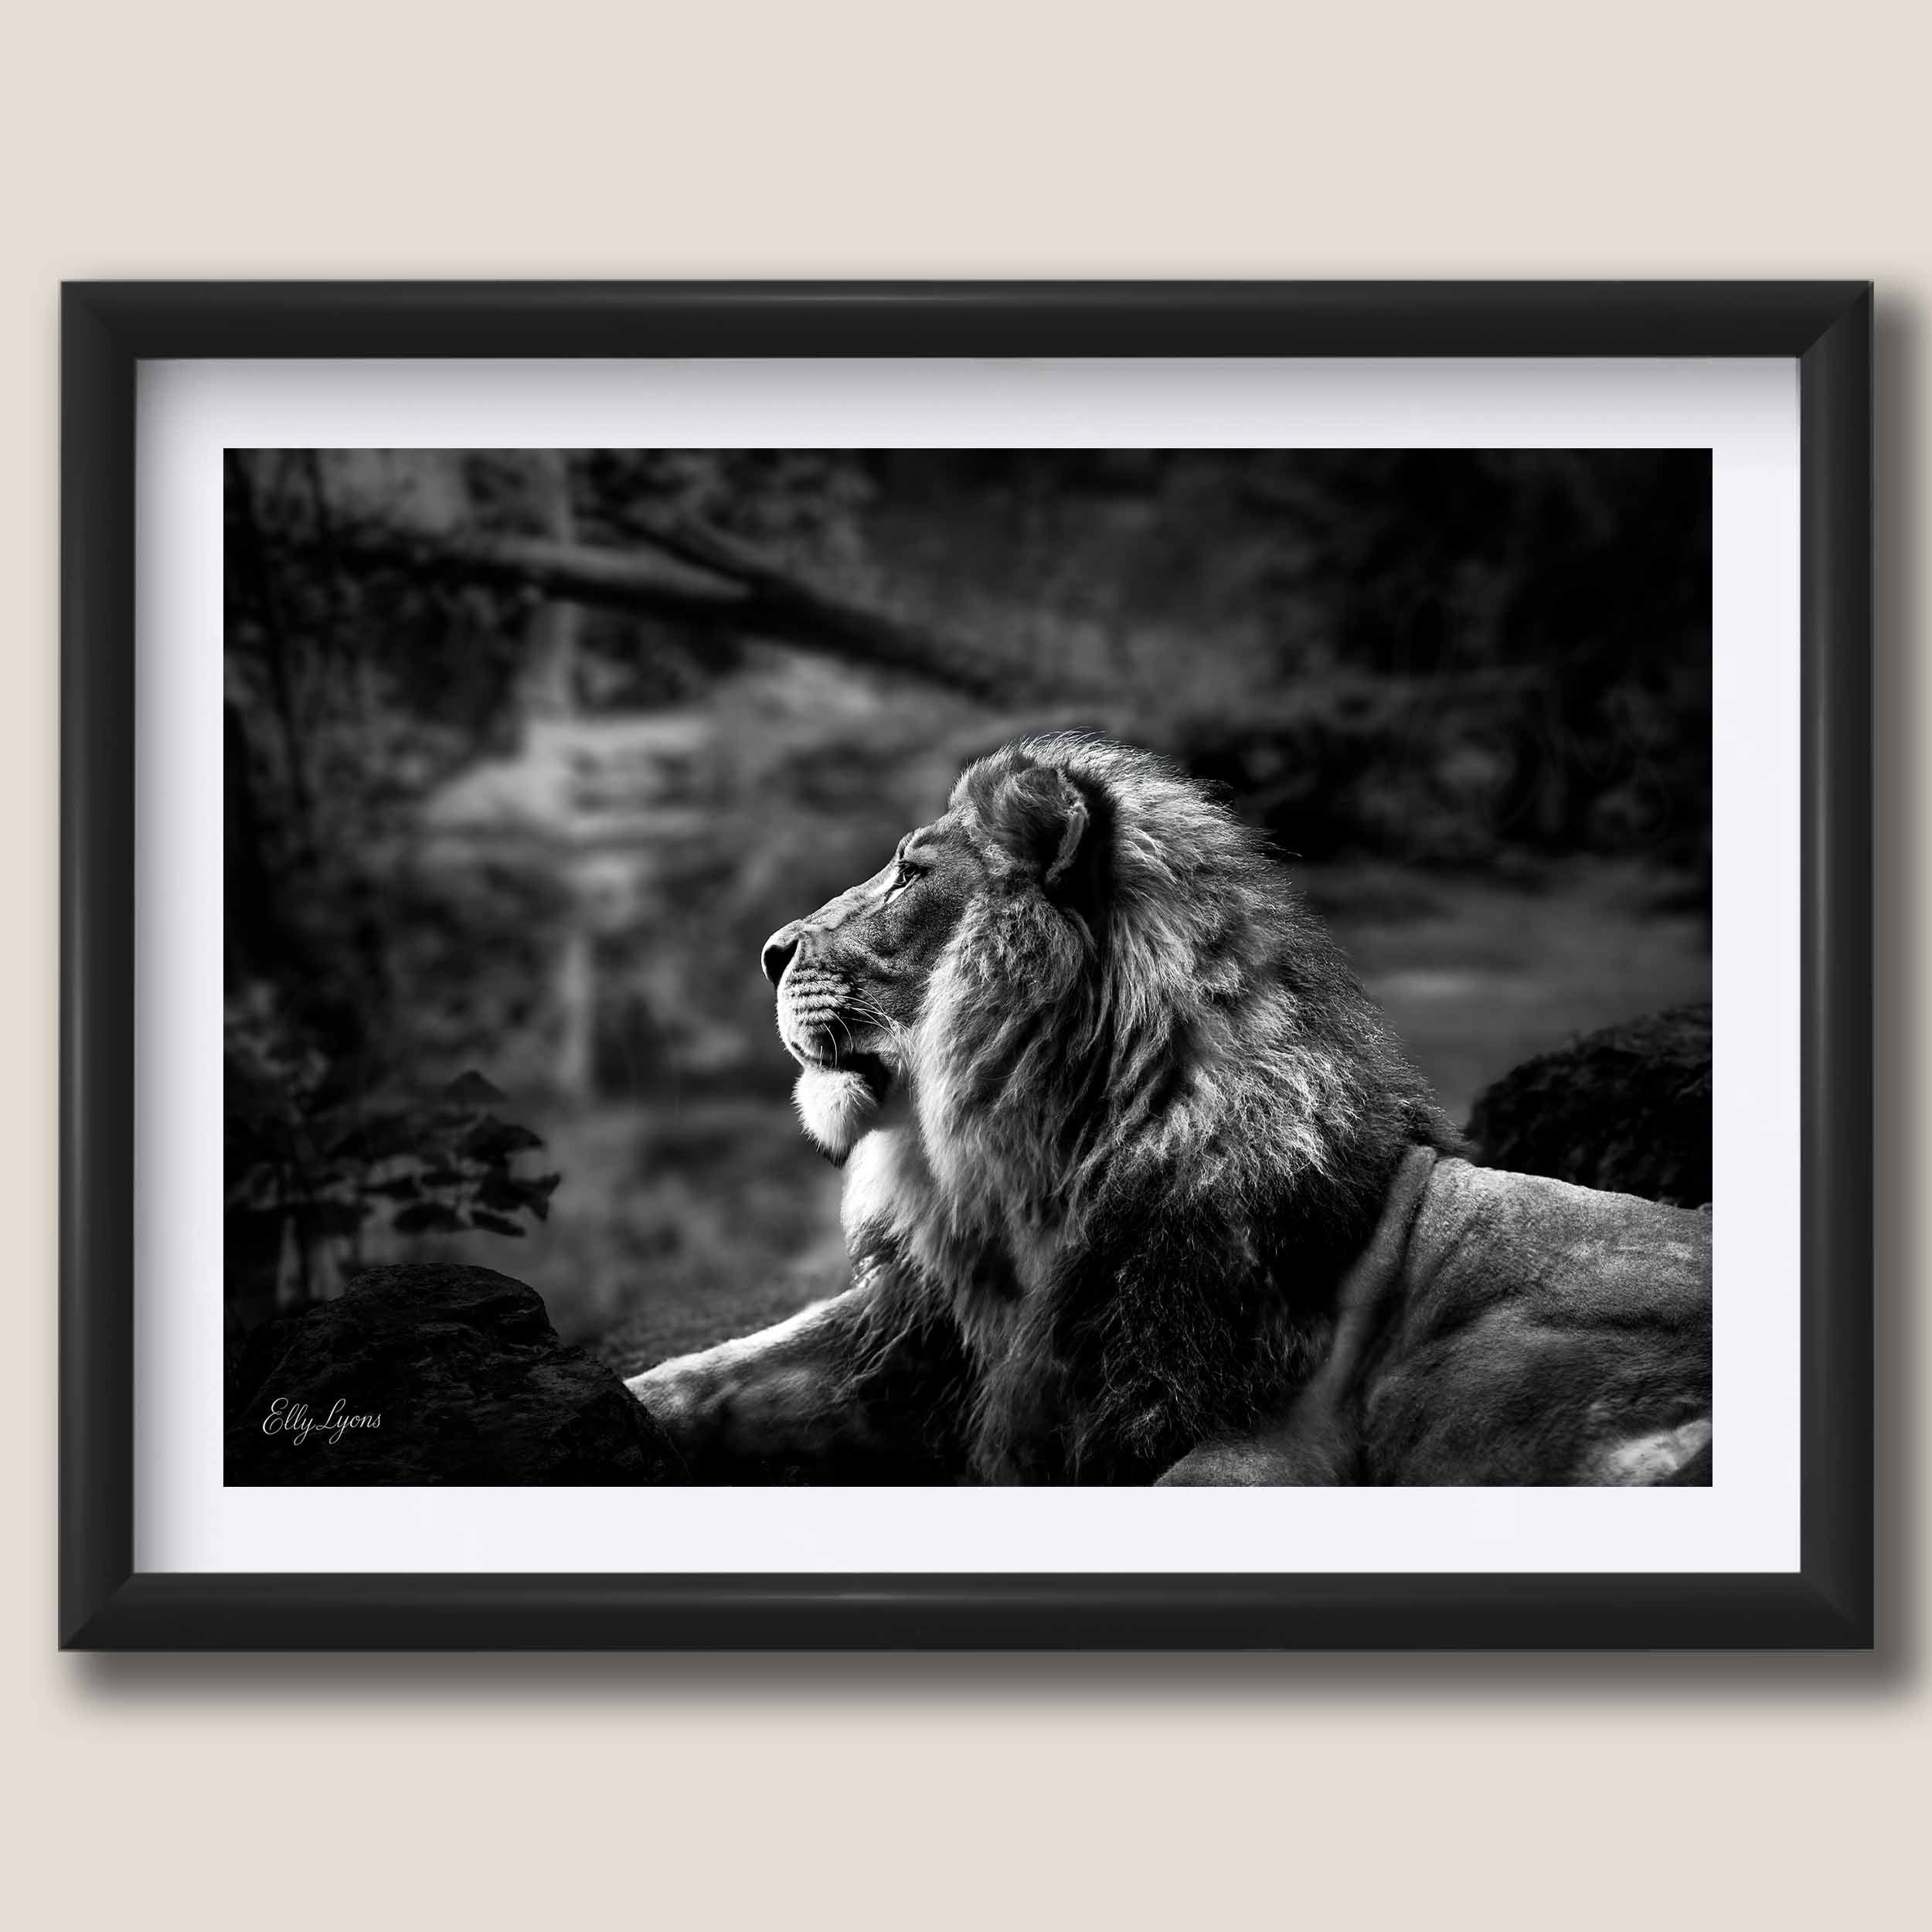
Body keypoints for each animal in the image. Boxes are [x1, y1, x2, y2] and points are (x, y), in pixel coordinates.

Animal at [628, 736, 1712, 1486]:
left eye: (910, 873)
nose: (769, 952)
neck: (1038, 1175)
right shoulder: (935, 1342)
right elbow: (729, 1369)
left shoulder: (1266, 1439)